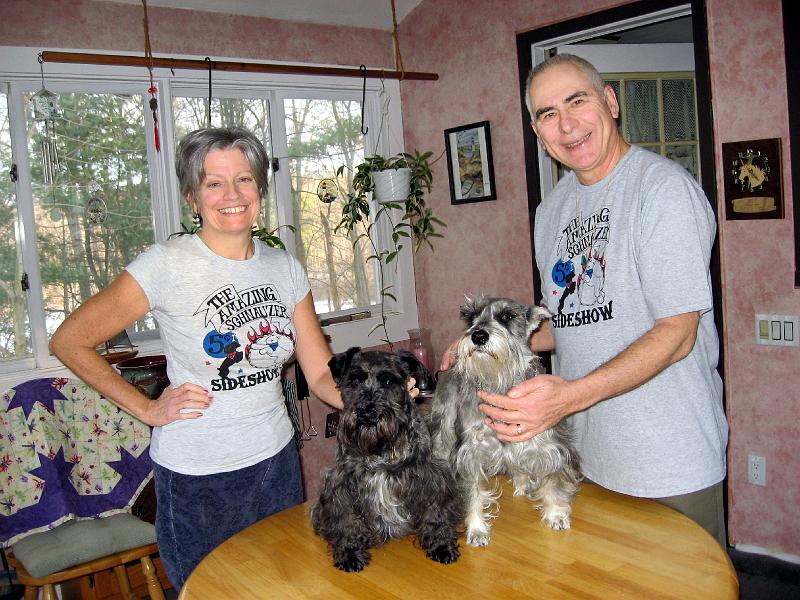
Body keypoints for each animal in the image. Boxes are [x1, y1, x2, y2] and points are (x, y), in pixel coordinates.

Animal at [310, 346, 462, 572]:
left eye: (388, 381)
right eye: (354, 381)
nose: (367, 412)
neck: (379, 449)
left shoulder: (430, 477)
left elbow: (435, 513)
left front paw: (441, 545)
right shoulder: (341, 485)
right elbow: (346, 520)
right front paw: (349, 553)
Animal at [428, 298, 580, 548]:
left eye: (507, 316)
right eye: (471, 317)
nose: (478, 335)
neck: (499, 382)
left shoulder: (544, 439)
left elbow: (552, 478)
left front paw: (556, 514)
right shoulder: (470, 452)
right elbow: (472, 492)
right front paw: (477, 528)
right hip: (443, 432)